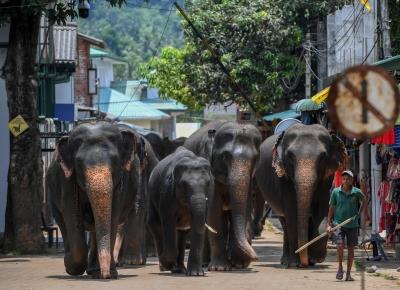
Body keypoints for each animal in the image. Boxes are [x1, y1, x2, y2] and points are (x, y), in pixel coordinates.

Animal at [46, 120, 141, 278]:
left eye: (115, 161)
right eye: (78, 163)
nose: (106, 276)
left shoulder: (121, 182)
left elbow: (112, 217)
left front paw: (109, 274)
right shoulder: (66, 180)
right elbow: (72, 215)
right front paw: (71, 266)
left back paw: (94, 271)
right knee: (63, 223)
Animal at [148, 146, 214, 276]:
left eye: (208, 184)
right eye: (184, 185)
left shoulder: (209, 196)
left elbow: (198, 223)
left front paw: (196, 274)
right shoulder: (167, 193)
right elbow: (168, 222)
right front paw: (166, 262)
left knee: (182, 233)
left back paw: (179, 269)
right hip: (150, 197)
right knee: (156, 227)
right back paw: (164, 266)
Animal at [184, 120, 262, 270]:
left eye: (255, 158)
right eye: (225, 156)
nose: (256, 257)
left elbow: (245, 208)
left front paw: (239, 263)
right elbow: (214, 211)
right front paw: (220, 268)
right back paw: (205, 262)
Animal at [256, 123, 346, 268]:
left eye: (323, 157)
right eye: (290, 156)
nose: (304, 262)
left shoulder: (327, 178)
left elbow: (322, 210)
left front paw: (316, 258)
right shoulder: (284, 178)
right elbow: (292, 213)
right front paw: (296, 263)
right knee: (284, 221)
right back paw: (287, 261)